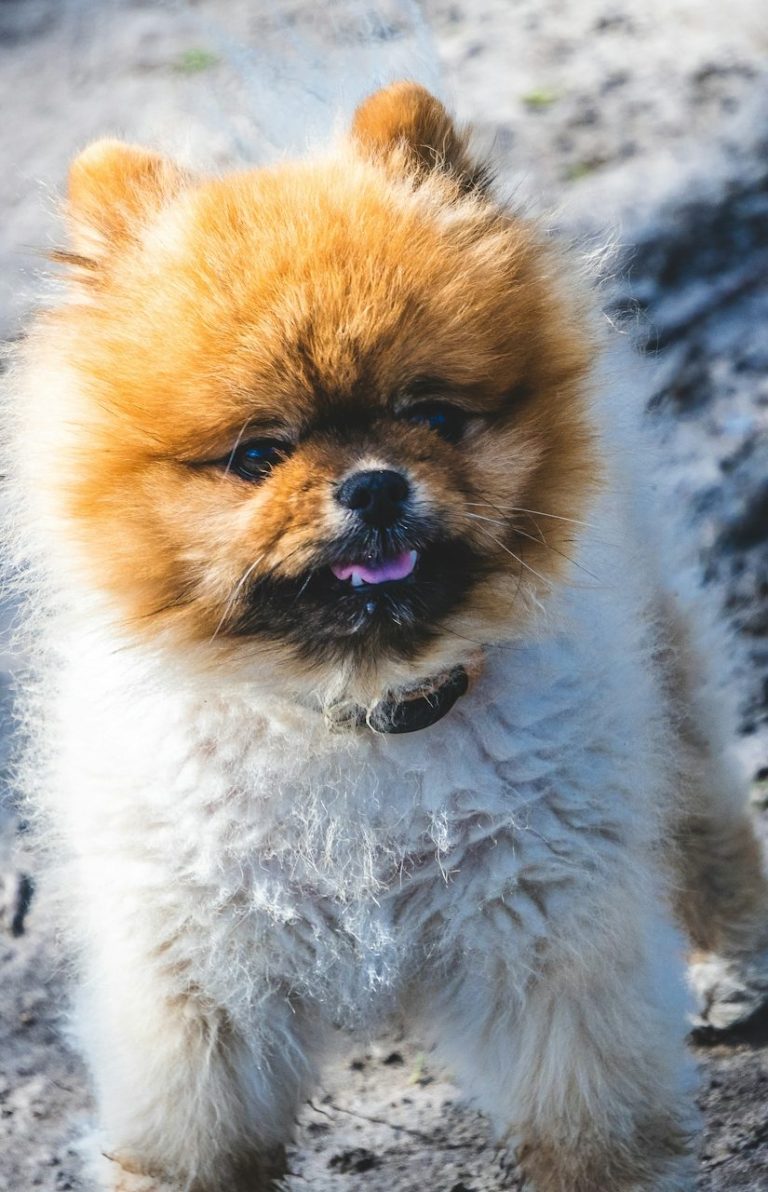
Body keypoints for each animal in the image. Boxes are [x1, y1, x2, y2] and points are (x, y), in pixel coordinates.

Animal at [7, 82, 768, 1191]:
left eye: (433, 415)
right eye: (257, 455)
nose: (372, 484)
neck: (356, 719)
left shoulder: (545, 941)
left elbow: (592, 1129)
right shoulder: (203, 989)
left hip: (661, 666)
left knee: (703, 805)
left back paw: (731, 958)